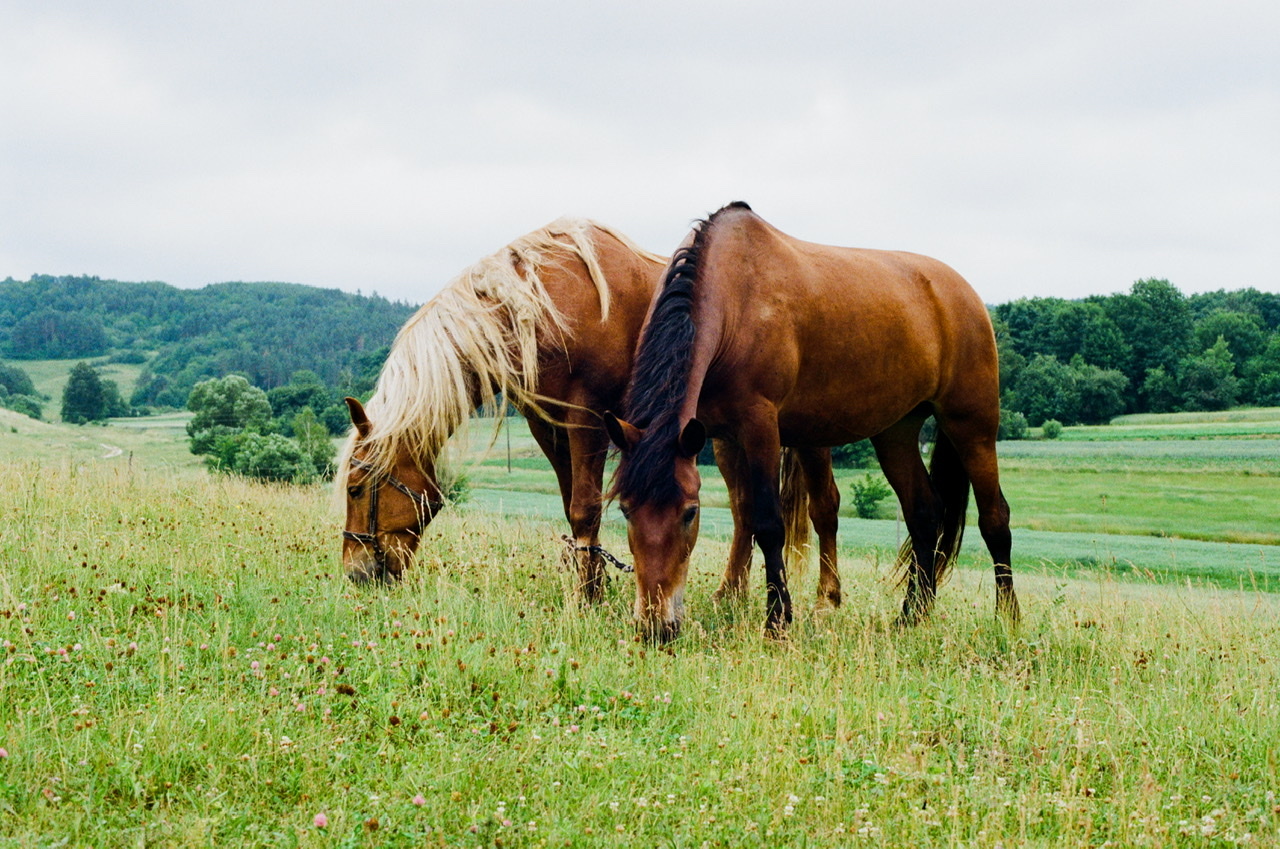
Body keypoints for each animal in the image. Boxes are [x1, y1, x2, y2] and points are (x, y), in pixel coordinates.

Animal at [335, 217, 834, 604]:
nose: (354, 573)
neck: (544, 306)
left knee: (820, 505)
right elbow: (573, 506)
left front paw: (587, 596)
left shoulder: (588, 419)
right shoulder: (549, 426)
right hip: (723, 439)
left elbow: (586, 509)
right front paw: (593, 585)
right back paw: (730, 594)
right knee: (744, 508)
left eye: (356, 489)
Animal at [606, 202, 1018, 640]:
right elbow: (744, 512)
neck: (736, 298)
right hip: (896, 434)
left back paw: (1008, 618)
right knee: (924, 513)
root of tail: (962, 293)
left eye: (690, 512)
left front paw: (777, 619)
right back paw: (912, 614)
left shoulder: (761, 428)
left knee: (995, 518)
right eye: (626, 510)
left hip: (971, 426)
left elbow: (768, 523)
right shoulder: (721, 439)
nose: (655, 626)